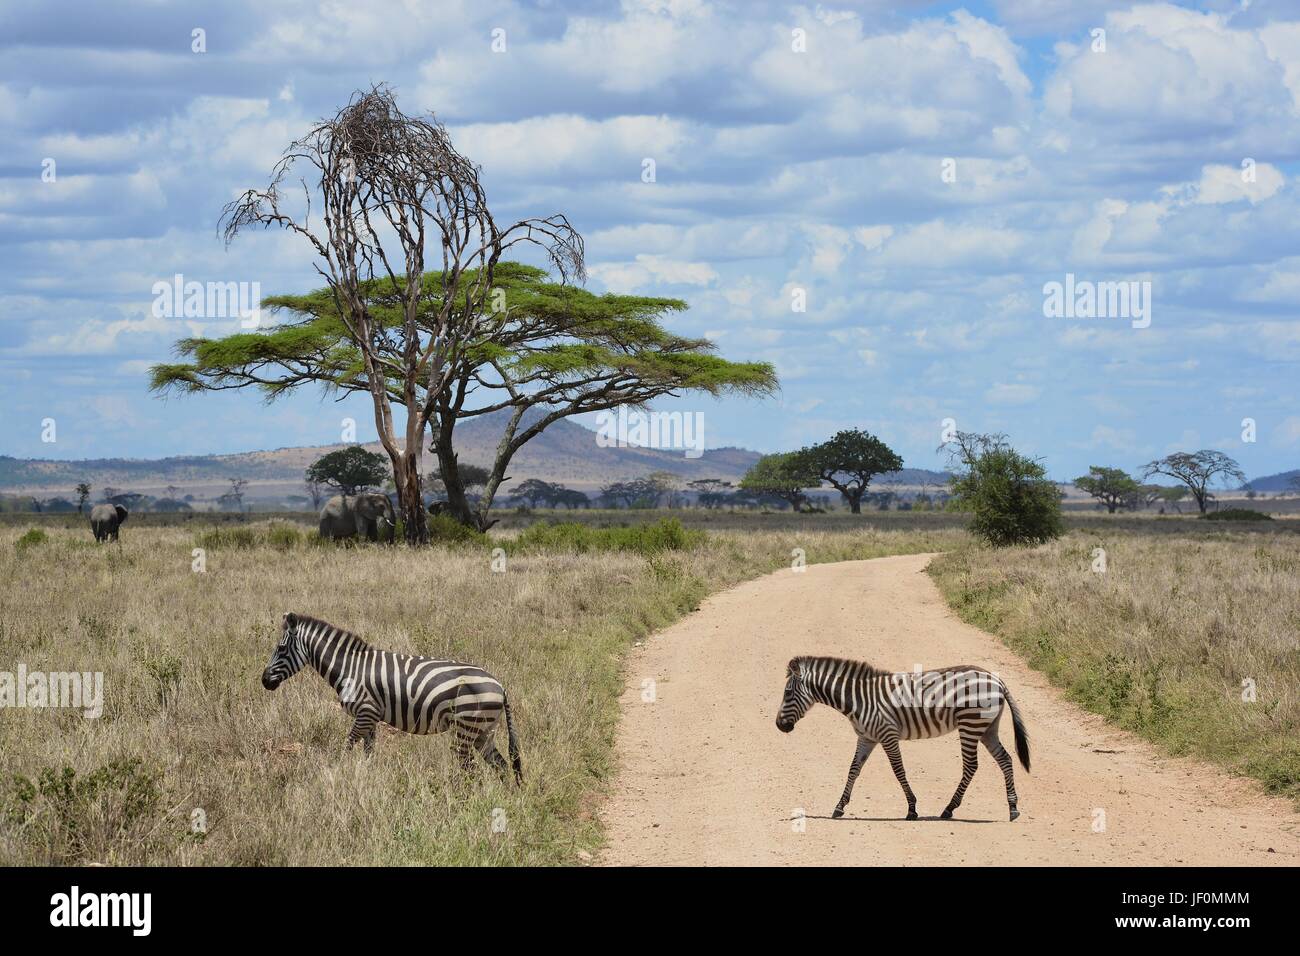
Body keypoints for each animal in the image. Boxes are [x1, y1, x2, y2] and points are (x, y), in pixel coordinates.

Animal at [261, 613, 520, 785]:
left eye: (281, 649)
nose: (264, 681)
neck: (349, 668)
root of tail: (501, 687)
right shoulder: (370, 718)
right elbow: (368, 753)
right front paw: (367, 779)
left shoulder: (365, 712)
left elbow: (347, 746)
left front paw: (336, 773)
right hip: (483, 731)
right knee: (502, 767)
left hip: (466, 729)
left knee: (471, 771)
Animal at [774, 658, 1029, 822]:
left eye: (787, 693)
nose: (778, 725)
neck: (858, 699)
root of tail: (996, 680)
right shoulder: (866, 738)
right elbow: (853, 770)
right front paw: (839, 807)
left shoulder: (887, 734)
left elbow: (898, 770)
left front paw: (912, 809)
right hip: (987, 729)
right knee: (1005, 760)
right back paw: (1013, 808)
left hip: (970, 724)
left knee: (971, 766)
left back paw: (949, 809)